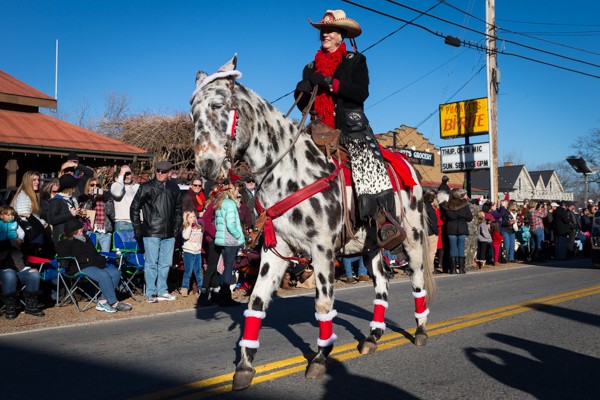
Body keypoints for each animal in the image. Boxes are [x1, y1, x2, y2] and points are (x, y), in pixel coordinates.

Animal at [190, 56, 434, 390]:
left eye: (217, 105)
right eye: (193, 112)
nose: (206, 165)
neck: (289, 170)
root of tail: (410, 164)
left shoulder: (322, 251)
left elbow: (323, 305)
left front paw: (319, 358)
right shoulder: (275, 249)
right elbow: (256, 302)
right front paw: (245, 366)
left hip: (412, 237)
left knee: (417, 280)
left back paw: (421, 330)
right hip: (372, 246)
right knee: (382, 283)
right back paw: (372, 336)